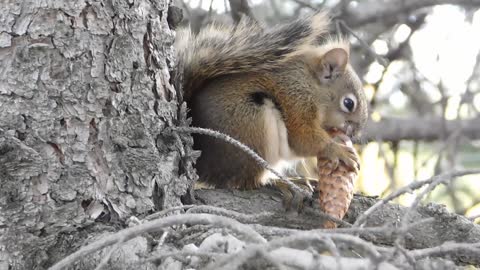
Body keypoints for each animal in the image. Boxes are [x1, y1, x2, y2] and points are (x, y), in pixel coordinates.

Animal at [176, 12, 368, 190]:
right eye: (349, 103)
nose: (355, 133)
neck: (309, 84)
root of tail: (204, 167)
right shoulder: (295, 100)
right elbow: (303, 139)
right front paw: (337, 150)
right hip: (253, 125)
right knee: (248, 181)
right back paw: (279, 182)